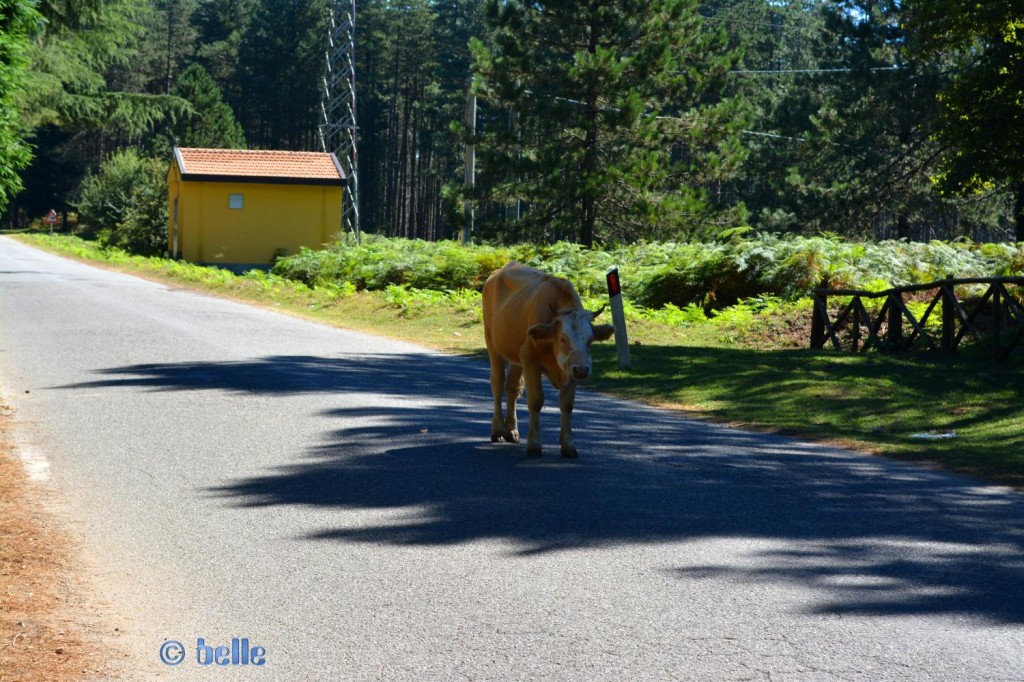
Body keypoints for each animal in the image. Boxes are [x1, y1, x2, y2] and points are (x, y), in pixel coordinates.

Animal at [481, 261, 614, 456]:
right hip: (492, 343)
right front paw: (535, 444)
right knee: (497, 383)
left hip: (515, 355)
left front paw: (568, 445)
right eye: (563, 338)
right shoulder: (530, 360)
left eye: (590, 340)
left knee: (512, 386)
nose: (582, 370)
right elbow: (536, 401)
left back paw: (511, 430)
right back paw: (498, 430)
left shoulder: (571, 367)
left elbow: (567, 404)